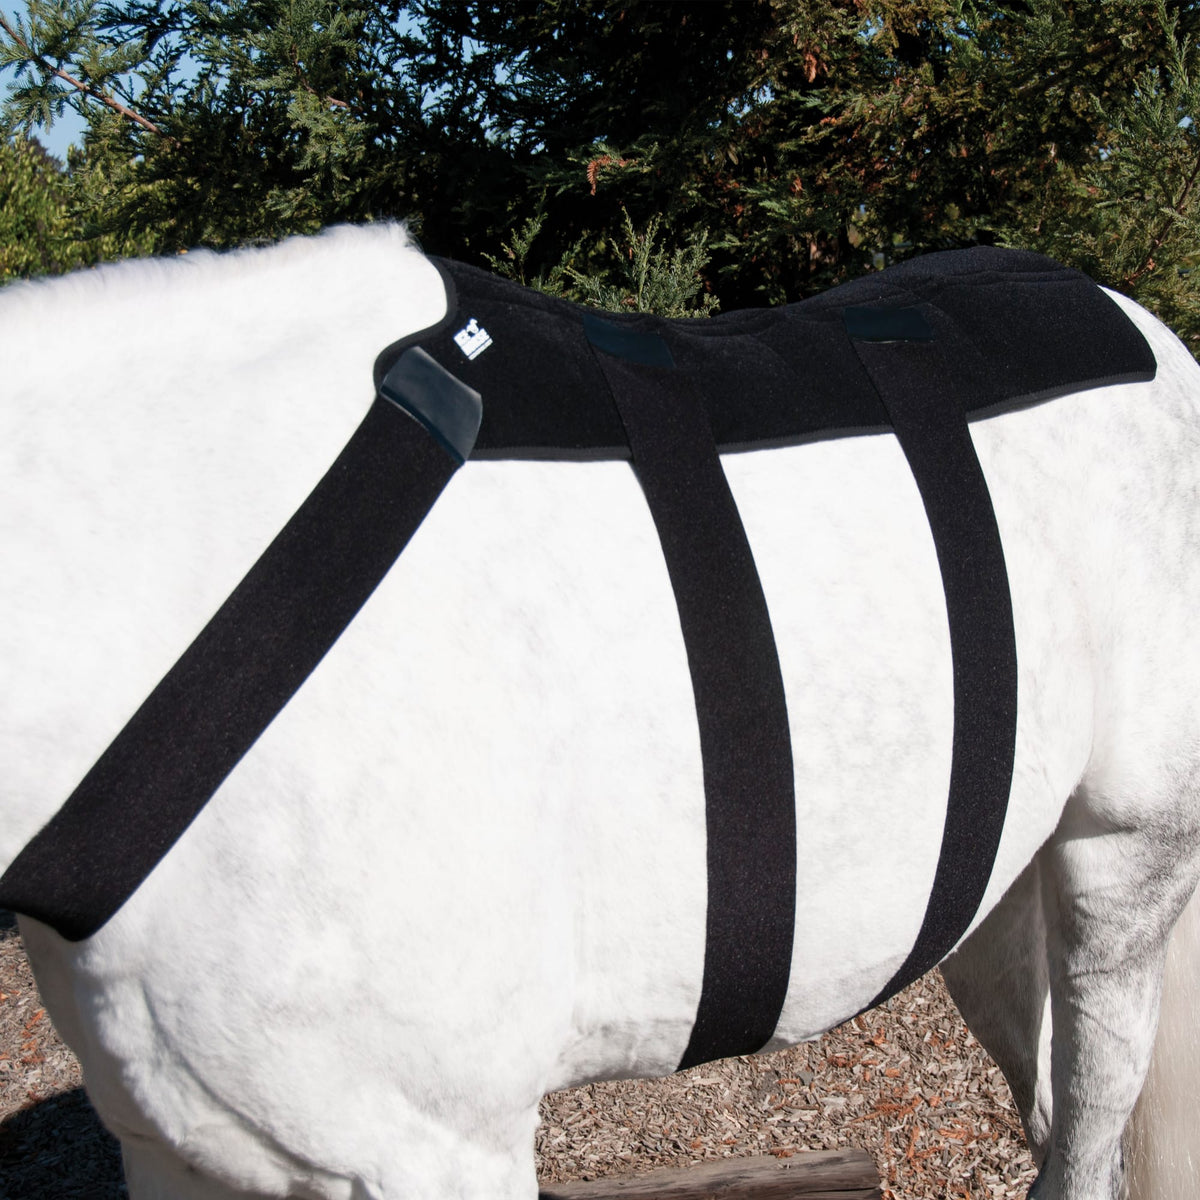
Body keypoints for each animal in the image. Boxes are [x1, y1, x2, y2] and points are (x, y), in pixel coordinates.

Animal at [1, 223, 1199, 1200]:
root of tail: (1145, 328)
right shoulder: (181, 1152)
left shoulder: (438, 1151)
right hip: (989, 883)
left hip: (1125, 854)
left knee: (1092, 1119)